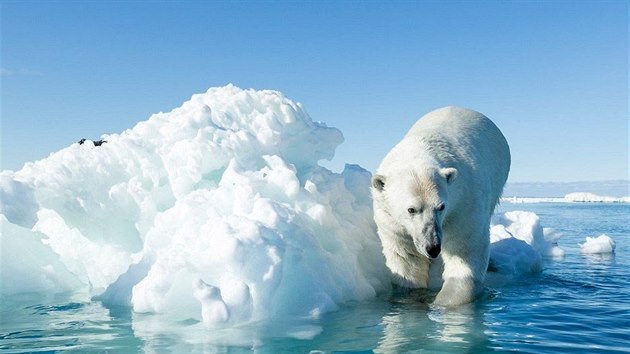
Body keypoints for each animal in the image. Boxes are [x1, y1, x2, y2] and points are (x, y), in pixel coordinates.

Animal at [370, 106, 512, 306]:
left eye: (441, 206)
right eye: (411, 209)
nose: (433, 247)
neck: (418, 149)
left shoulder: (463, 205)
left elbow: (464, 256)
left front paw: (445, 301)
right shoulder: (391, 220)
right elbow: (407, 262)